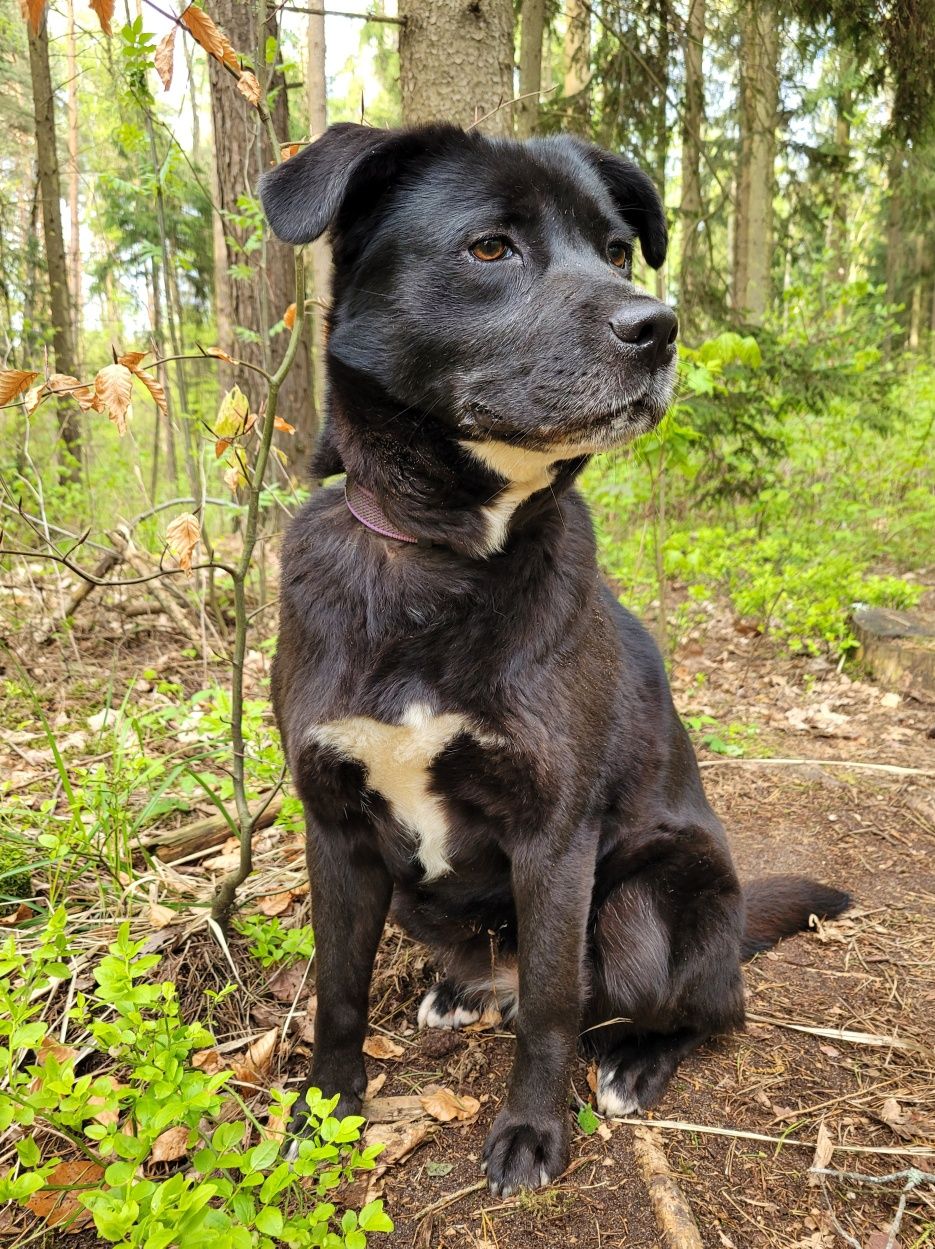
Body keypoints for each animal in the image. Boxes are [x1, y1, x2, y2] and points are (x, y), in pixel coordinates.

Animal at [258, 126, 848, 1199]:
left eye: (616, 250)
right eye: (490, 247)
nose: (658, 327)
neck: (444, 559)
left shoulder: (555, 836)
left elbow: (549, 1006)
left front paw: (533, 1130)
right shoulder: (336, 828)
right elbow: (336, 992)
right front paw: (321, 1114)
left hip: (646, 907)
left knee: (700, 1007)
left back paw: (632, 1060)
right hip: (422, 896)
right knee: (508, 973)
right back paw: (461, 991)